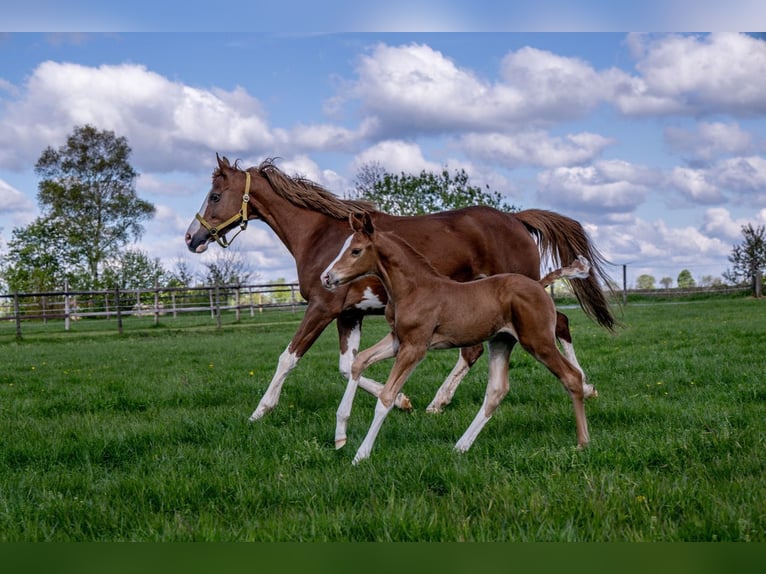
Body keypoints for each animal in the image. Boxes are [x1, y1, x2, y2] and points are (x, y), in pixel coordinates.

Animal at [320, 214, 596, 466]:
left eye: (355, 251)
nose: (326, 277)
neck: (413, 288)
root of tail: (539, 285)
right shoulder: (398, 340)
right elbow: (359, 362)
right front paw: (340, 436)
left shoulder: (415, 347)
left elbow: (386, 397)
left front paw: (360, 455)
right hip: (501, 341)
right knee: (497, 391)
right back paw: (461, 446)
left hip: (538, 341)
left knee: (571, 377)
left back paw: (583, 442)